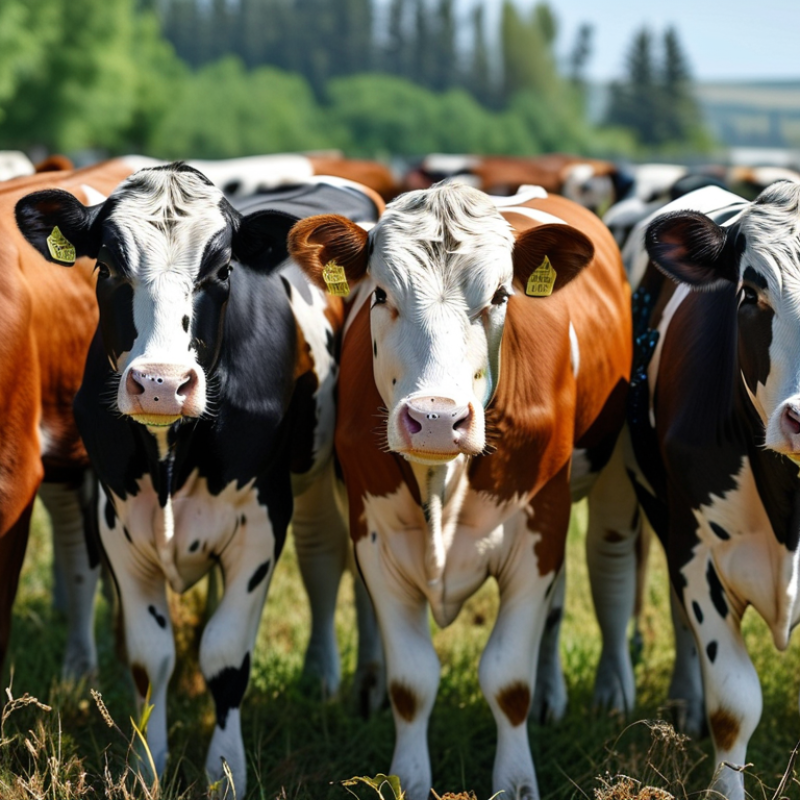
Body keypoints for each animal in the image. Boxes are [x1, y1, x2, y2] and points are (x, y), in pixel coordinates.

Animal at [15, 164, 385, 795]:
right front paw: (146, 765)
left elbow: (226, 655)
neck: (170, 458)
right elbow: (150, 658)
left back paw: (356, 681)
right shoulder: (118, 522)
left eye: (223, 270)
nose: (161, 384)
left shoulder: (261, 521)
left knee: (342, 564)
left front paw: (225, 771)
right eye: (106, 268)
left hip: (339, 468)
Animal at [289, 182, 634, 800]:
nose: (434, 418)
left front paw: (517, 781)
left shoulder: (537, 532)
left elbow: (509, 680)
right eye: (380, 293)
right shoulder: (377, 539)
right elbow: (412, 682)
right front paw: (407, 778)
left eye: (499, 295)